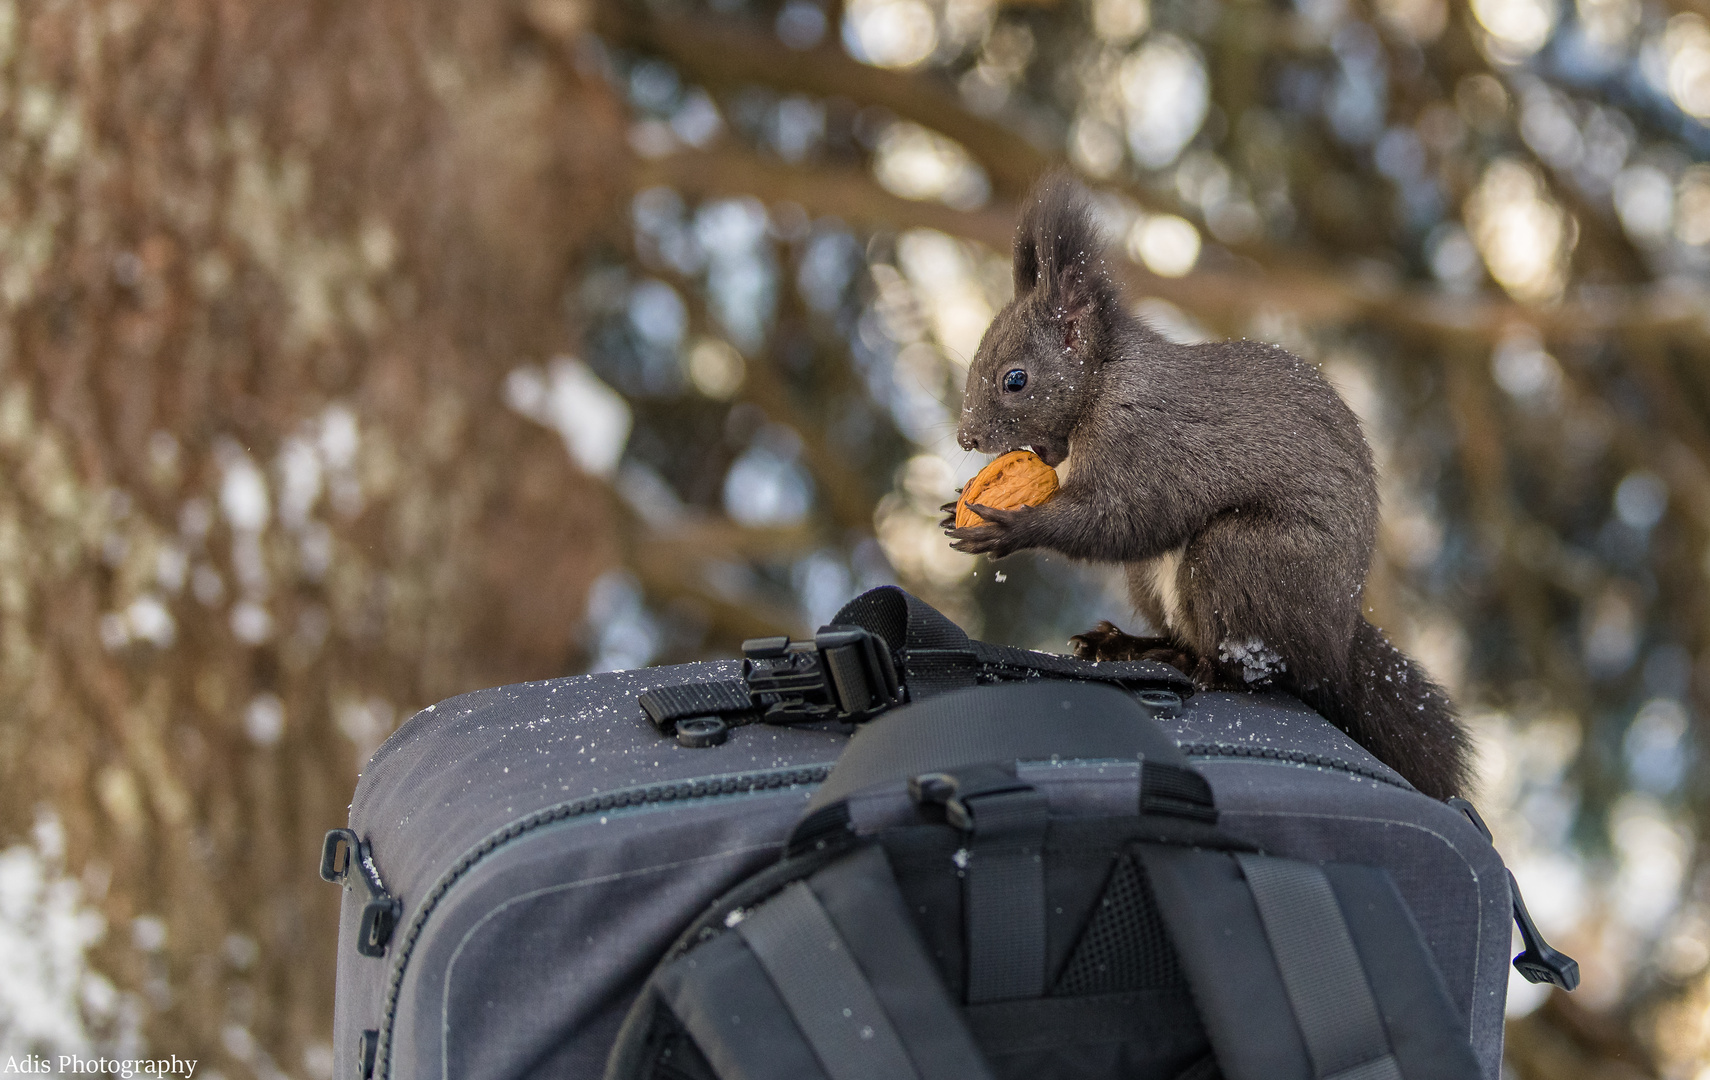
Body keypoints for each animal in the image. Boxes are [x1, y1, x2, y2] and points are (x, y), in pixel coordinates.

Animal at [950, 172, 1470, 803]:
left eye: (1015, 379)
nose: (966, 437)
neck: (1105, 381)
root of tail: (1336, 640)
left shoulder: (1144, 441)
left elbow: (1121, 518)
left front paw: (1013, 526)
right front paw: (951, 506)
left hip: (1239, 559)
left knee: (1242, 669)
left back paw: (1190, 664)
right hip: (1153, 581)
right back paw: (1129, 644)